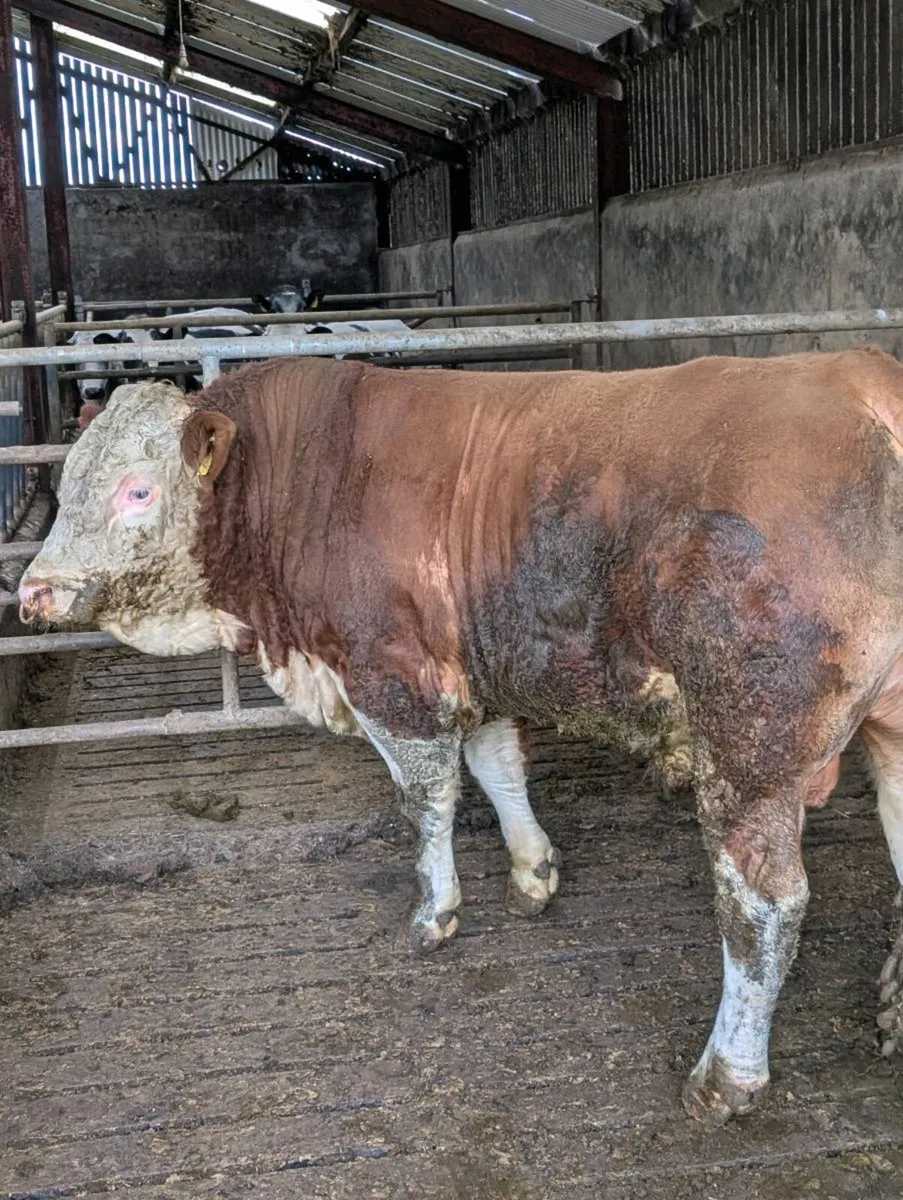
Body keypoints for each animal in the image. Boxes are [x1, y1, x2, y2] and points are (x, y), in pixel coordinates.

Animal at [18, 348, 903, 1127]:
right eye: (67, 483)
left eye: (137, 491)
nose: (32, 593)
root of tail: (862, 383)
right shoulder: (478, 669)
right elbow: (497, 765)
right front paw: (532, 870)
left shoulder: (392, 678)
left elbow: (428, 798)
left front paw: (435, 911)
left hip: (751, 746)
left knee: (761, 902)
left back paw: (725, 1078)